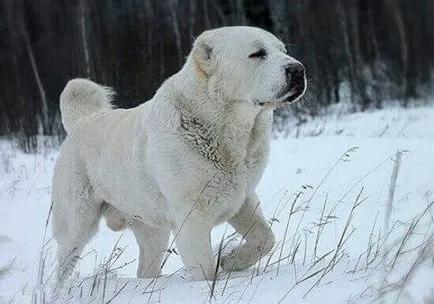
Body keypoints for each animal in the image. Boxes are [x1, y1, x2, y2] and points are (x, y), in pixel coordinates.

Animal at [51, 25, 306, 282]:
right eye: (257, 54)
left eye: (283, 51)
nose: (298, 69)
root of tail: (81, 121)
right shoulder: (192, 221)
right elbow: (206, 270)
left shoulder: (243, 199)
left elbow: (265, 239)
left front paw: (232, 260)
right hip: (77, 223)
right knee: (62, 265)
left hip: (152, 230)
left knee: (146, 269)